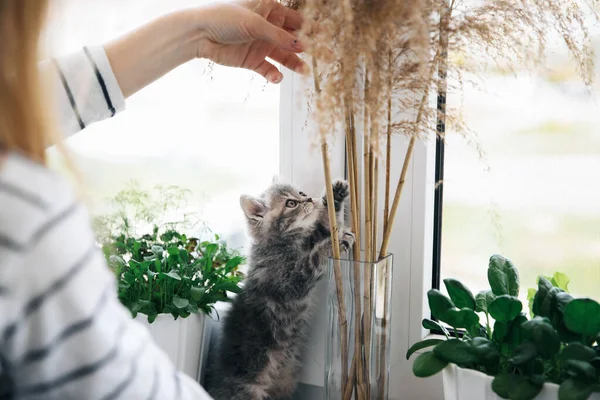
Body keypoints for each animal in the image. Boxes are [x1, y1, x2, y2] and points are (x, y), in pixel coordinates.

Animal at [209, 180, 354, 398]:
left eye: (300, 193)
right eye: (291, 203)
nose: (309, 198)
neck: (285, 243)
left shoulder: (311, 238)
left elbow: (328, 224)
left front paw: (335, 195)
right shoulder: (291, 281)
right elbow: (314, 259)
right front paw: (332, 243)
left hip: (285, 383)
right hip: (249, 389)